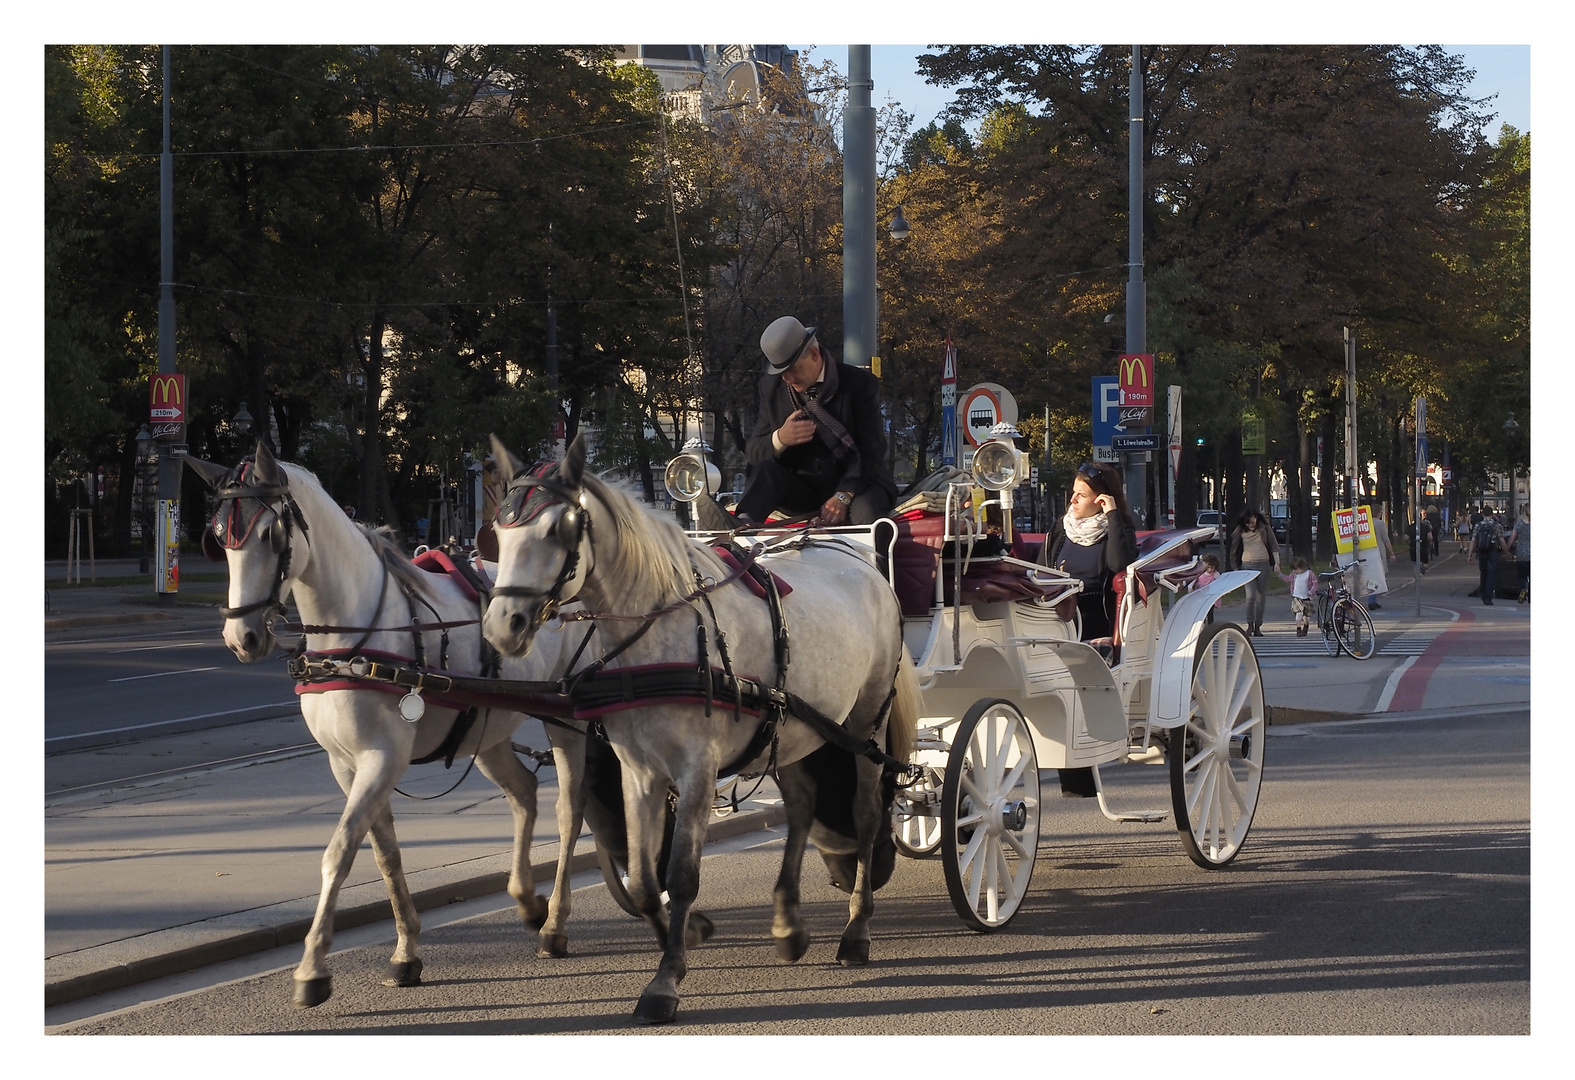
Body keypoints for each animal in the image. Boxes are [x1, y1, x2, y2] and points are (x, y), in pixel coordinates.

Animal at [187, 440, 592, 1007]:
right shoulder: (346, 765)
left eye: (269, 535)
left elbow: (338, 853)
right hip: (487, 731)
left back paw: (555, 921)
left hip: (567, 721)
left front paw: (313, 967)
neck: (353, 636)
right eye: (219, 538)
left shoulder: (382, 758)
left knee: (568, 810)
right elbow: (384, 855)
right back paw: (526, 899)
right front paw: (406, 951)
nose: (240, 637)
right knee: (524, 794)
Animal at [481, 434, 919, 1026]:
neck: (658, 624)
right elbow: (646, 879)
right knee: (803, 805)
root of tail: (859, 558)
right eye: (498, 531)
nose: (502, 626)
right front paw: (680, 939)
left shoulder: (695, 770)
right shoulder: (639, 769)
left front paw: (665, 980)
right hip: (793, 727)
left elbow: (682, 875)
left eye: (558, 530)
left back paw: (856, 930)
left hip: (865, 722)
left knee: (867, 815)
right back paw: (788, 922)